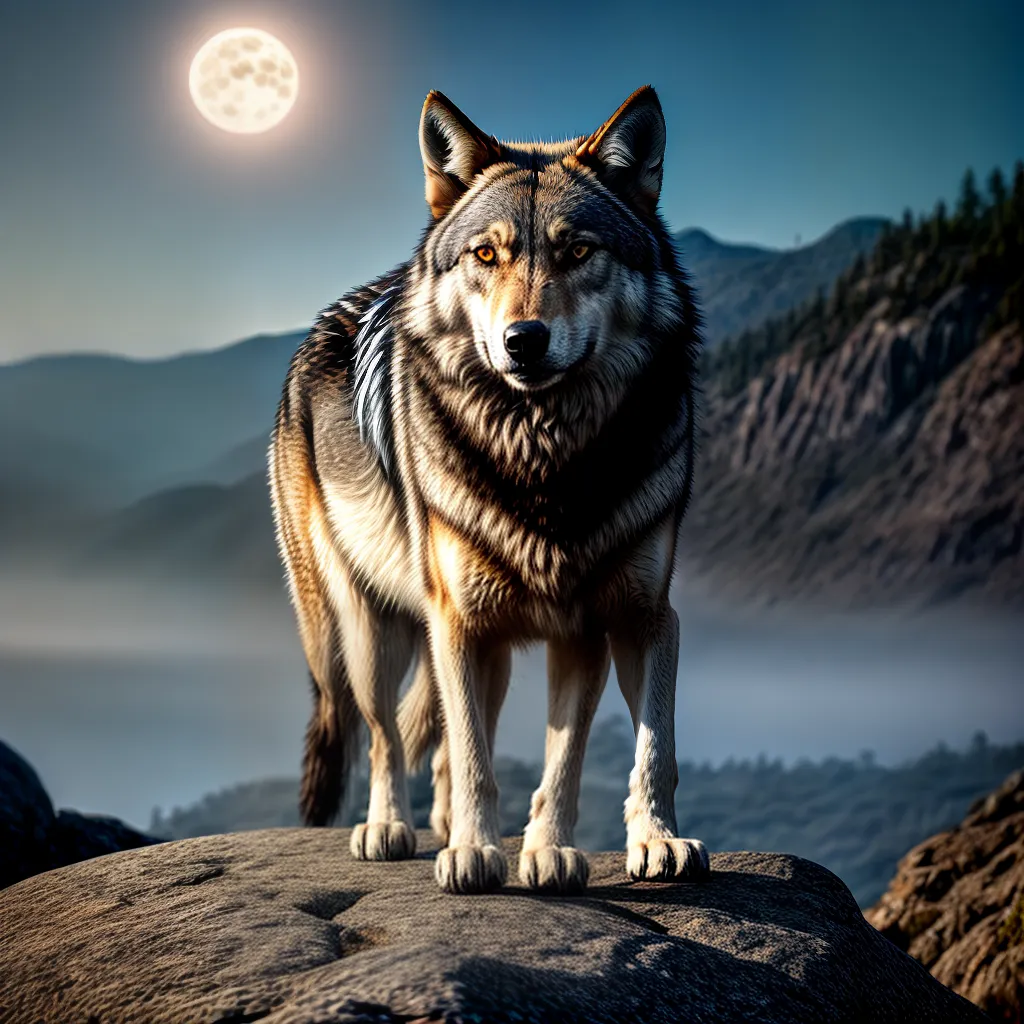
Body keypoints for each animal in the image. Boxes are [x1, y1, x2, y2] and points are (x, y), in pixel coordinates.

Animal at [270, 85, 708, 894]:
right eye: (486, 254)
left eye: (577, 251)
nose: (523, 340)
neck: (546, 458)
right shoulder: (460, 624)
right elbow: (474, 755)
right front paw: (476, 853)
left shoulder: (626, 619)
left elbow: (633, 747)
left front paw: (625, 844)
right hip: (371, 631)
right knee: (385, 736)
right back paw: (390, 830)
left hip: (486, 644)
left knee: (439, 740)